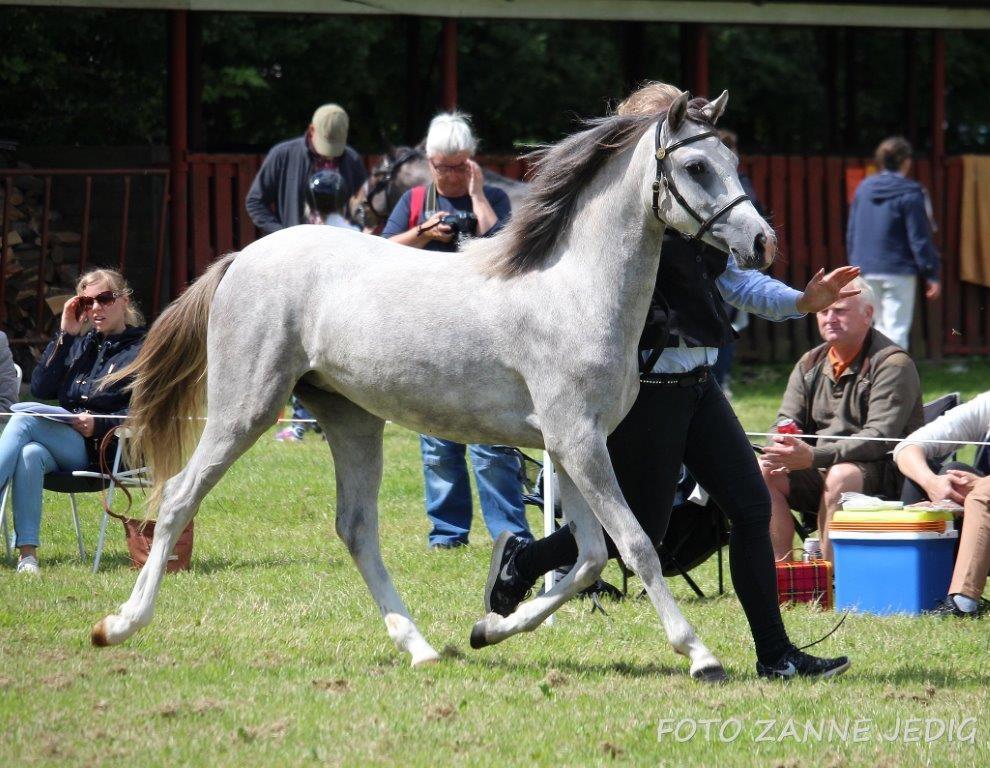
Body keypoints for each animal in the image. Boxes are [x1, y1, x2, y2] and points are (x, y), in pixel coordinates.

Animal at [92, 91, 775, 682]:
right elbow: (635, 545)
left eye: (735, 162)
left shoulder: (569, 448)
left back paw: (419, 647)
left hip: (351, 419)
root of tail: (243, 258)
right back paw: (119, 624)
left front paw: (488, 629)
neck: (574, 289)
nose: (762, 241)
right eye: (695, 166)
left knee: (355, 528)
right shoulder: (579, 444)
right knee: (179, 498)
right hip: (244, 410)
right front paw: (701, 656)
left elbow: (586, 559)